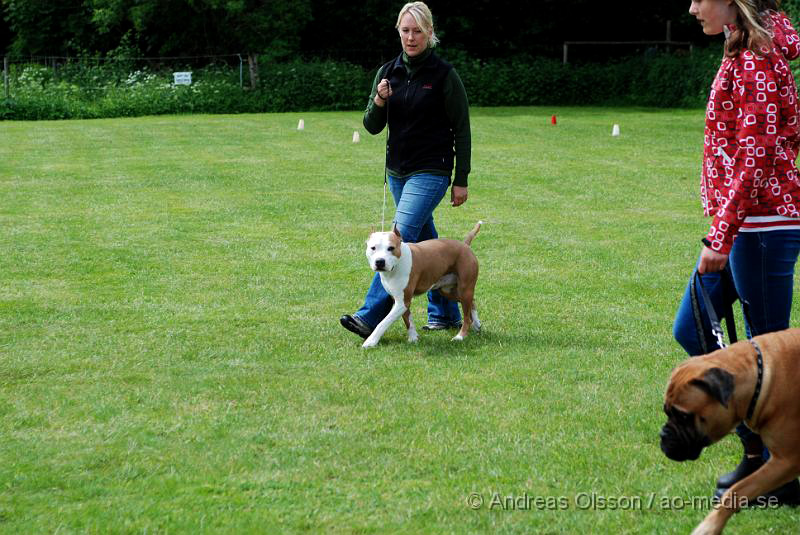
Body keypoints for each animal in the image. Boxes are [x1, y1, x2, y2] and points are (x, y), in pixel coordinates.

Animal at [360, 221, 482, 350]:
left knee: (467, 317)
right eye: (373, 248)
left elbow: (383, 322)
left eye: (391, 248)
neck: (396, 265)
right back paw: (477, 324)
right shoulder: (400, 301)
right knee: (472, 302)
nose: (380, 261)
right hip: (448, 291)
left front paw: (370, 341)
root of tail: (465, 245)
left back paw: (460, 337)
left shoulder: (402, 302)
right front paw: (413, 338)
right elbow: (408, 320)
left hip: (464, 289)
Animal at [660, 328, 800, 532]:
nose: (663, 434)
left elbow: (736, 491)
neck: (761, 378)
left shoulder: (786, 461)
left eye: (684, 416)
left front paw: (709, 526)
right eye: (666, 412)